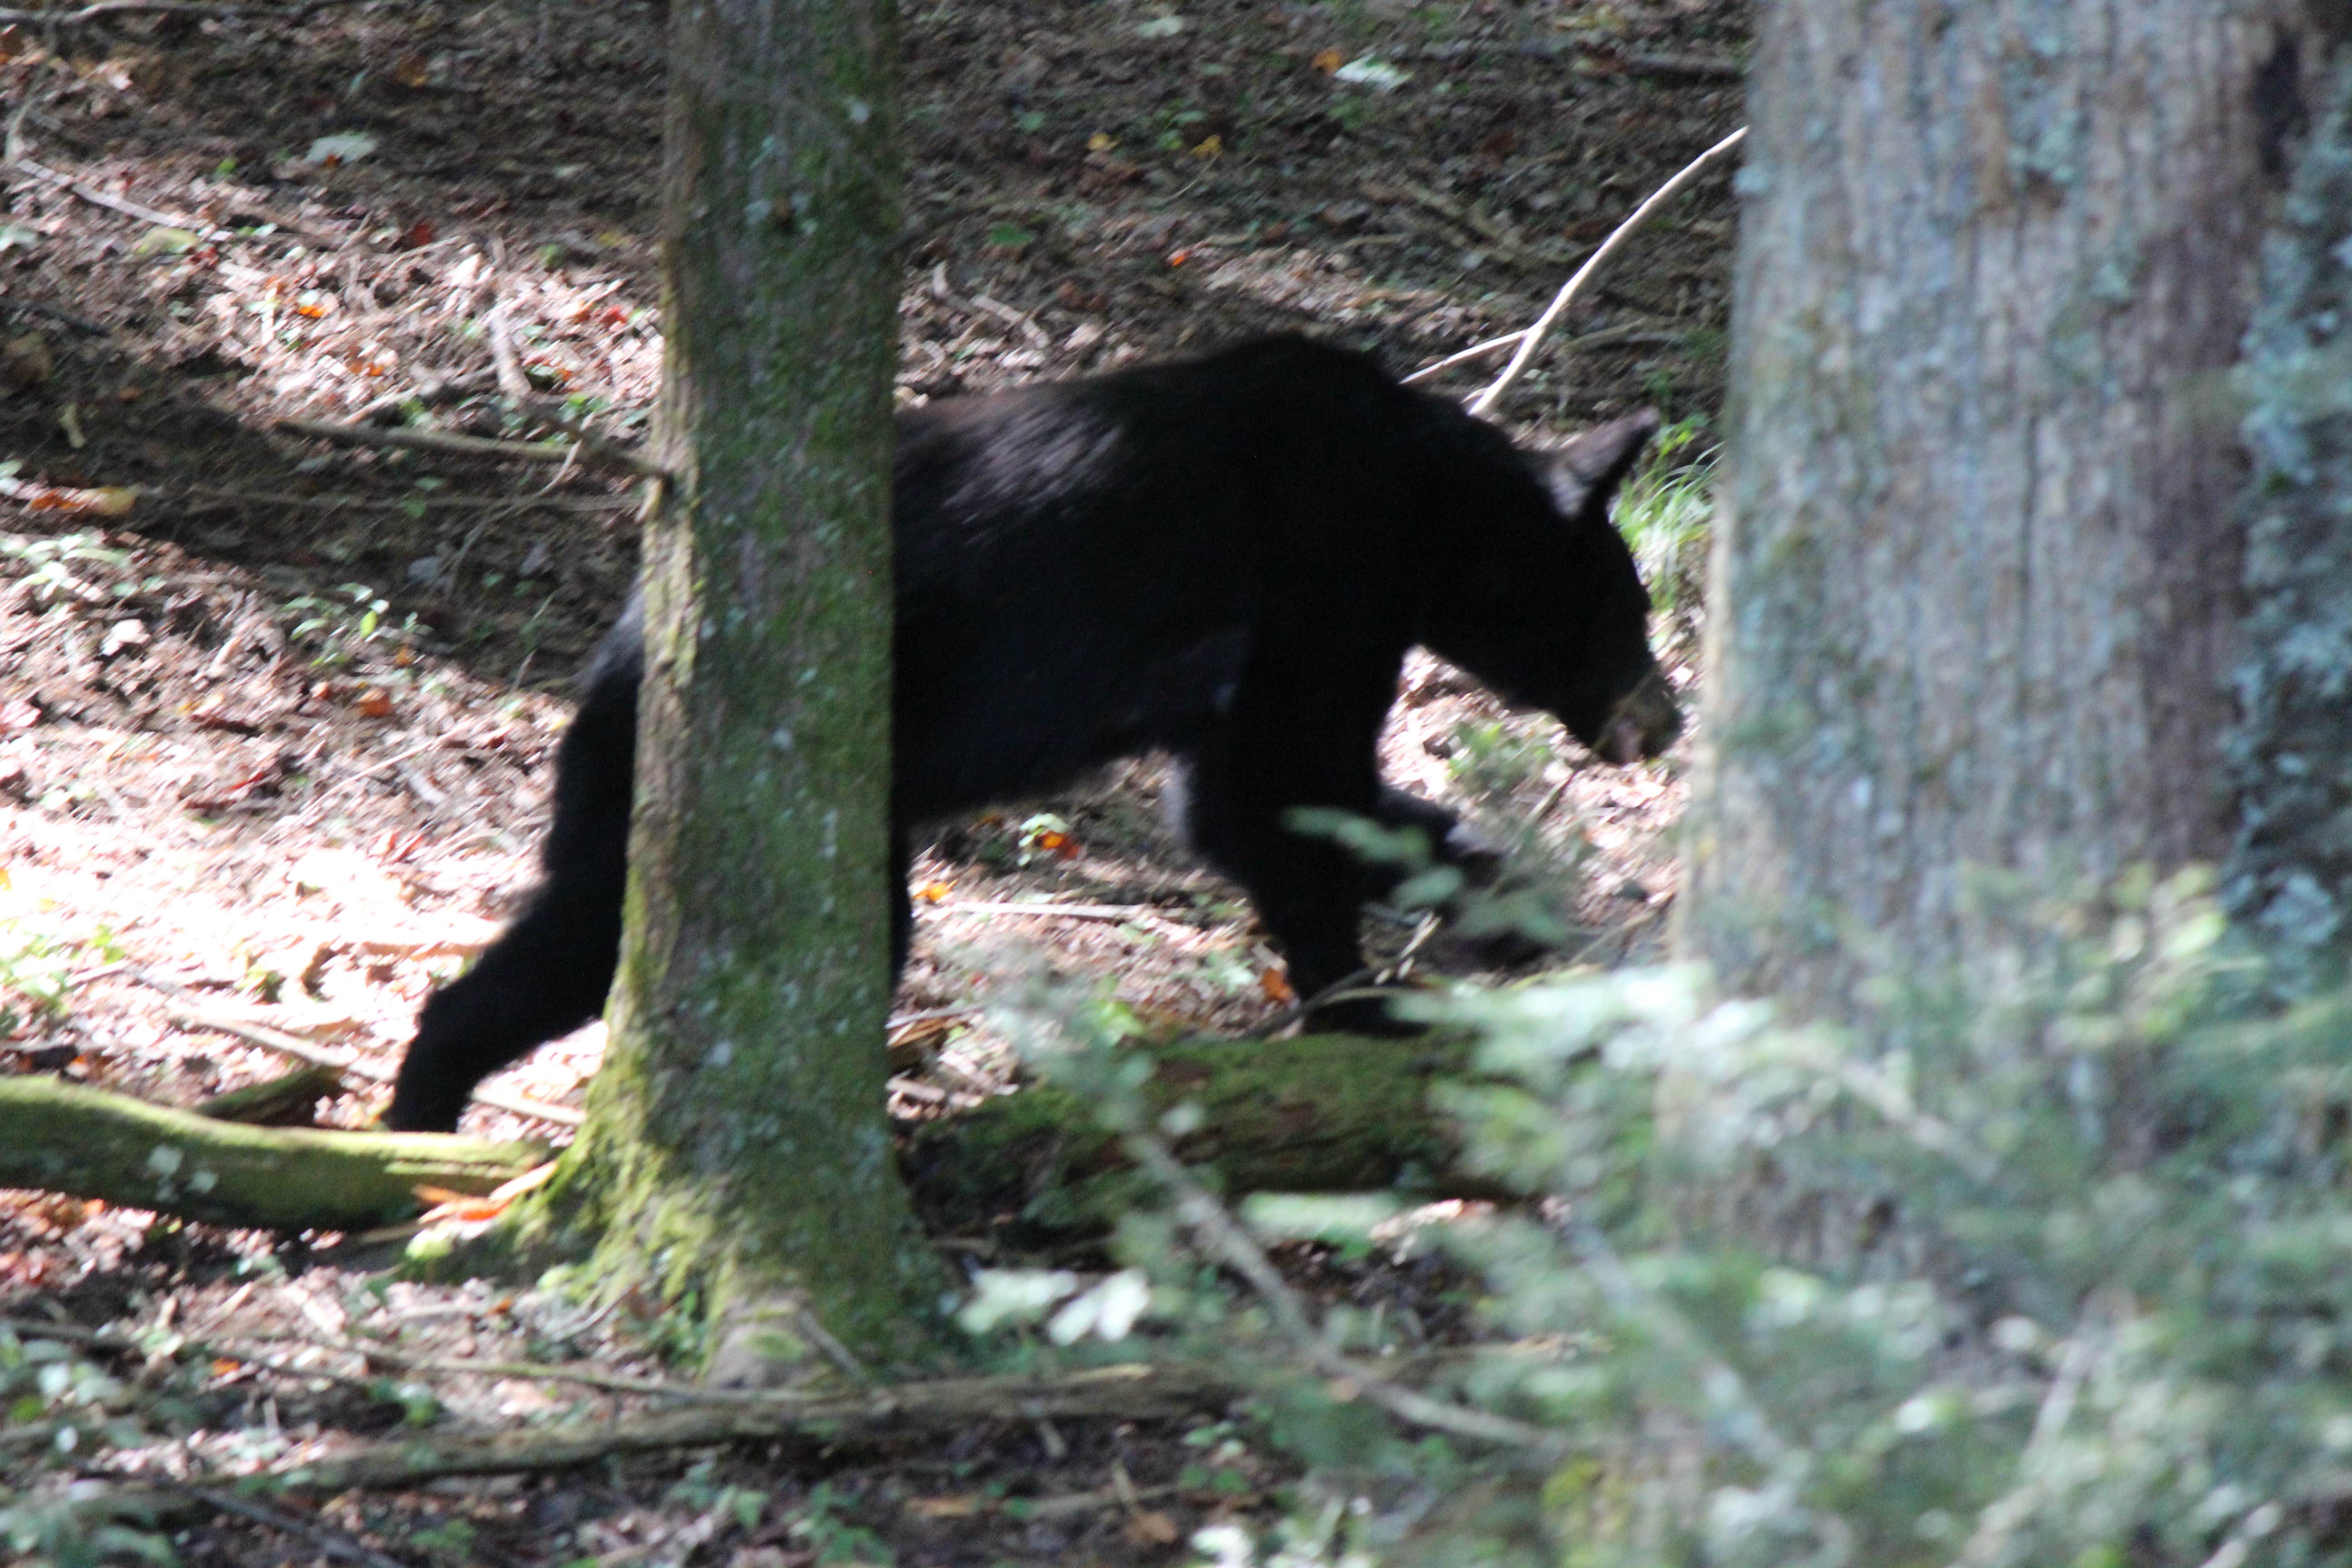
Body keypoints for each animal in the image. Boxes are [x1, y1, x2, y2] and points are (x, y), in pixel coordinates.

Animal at [381, 338, 1675, 1133]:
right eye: (1632, 611)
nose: (1664, 719)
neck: (1430, 506)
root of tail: (621, 646)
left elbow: (1239, 806)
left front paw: (1490, 920)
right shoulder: (1324, 574)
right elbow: (1285, 793)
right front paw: (1394, 991)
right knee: (606, 930)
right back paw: (422, 1121)